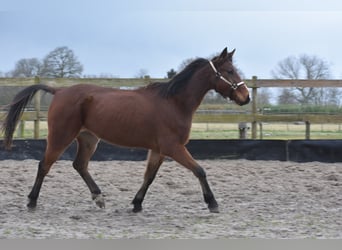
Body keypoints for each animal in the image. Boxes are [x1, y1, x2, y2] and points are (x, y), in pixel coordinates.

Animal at [1, 48, 250, 213]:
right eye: (229, 71)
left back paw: (99, 198)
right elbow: (200, 170)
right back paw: (32, 202)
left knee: (79, 165)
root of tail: (59, 91)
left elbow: (149, 177)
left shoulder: (158, 150)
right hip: (60, 137)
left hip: (89, 139)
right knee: (44, 165)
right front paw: (212, 203)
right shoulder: (173, 147)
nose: (246, 97)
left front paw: (137, 204)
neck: (173, 102)